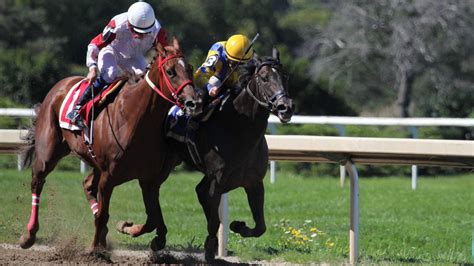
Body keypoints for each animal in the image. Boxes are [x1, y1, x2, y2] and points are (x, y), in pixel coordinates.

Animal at [19, 37, 204, 251]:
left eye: (190, 68)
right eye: (171, 71)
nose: (194, 103)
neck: (136, 119)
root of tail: (60, 85)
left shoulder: (148, 180)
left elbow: (152, 220)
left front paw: (128, 228)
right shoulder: (109, 177)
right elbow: (103, 216)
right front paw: (96, 249)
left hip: (94, 161)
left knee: (87, 185)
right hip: (48, 152)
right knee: (37, 181)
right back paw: (29, 235)